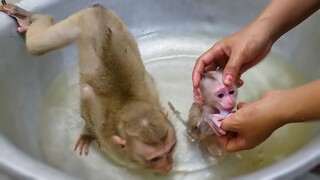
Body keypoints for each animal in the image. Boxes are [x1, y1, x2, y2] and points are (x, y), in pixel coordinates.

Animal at [0, 2, 176, 173]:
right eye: (156, 158)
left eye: (171, 149)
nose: (168, 166)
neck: (129, 104)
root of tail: (98, 12)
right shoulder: (103, 132)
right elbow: (87, 95)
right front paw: (87, 135)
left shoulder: (152, 94)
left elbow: (148, 79)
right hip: (80, 22)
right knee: (36, 46)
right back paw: (31, 17)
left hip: (115, 22)